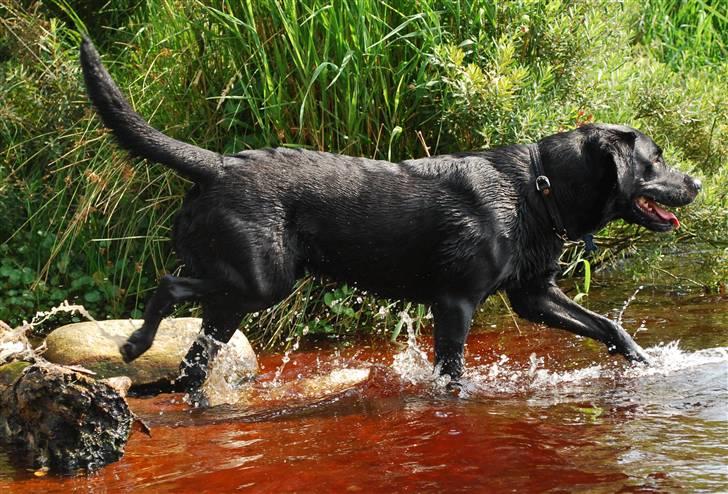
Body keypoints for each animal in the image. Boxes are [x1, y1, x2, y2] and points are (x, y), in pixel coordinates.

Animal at [78, 38, 700, 388]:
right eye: (657, 159)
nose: (695, 181)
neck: (537, 189)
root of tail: (218, 164)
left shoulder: (533, 294)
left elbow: (610, 326)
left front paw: (647, 364)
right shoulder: (455, 302)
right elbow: (451, 374)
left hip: (238, 297)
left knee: (195, 358)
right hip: (262, 279)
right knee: (169, 283)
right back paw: (133, 345)